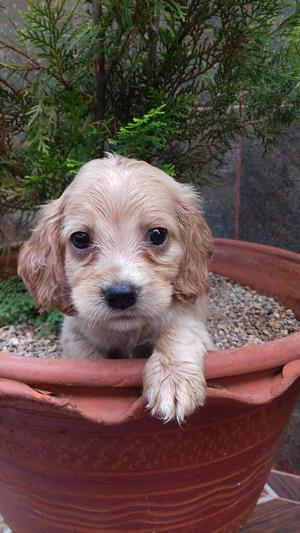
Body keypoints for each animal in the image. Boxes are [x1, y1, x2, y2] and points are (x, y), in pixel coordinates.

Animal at [18, 156, 213, 422]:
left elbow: (177, 334)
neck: (127, 332)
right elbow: (88, 361)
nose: (121, 295)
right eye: (80, 239)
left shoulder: (191, 320)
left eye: (157, 235)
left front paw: (173, 381)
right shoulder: (73, 335)